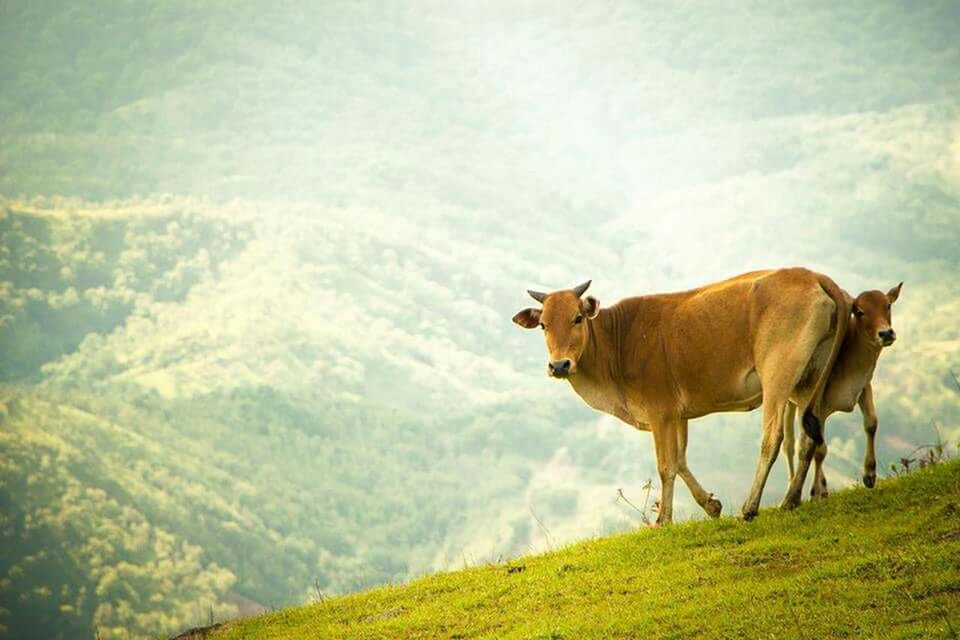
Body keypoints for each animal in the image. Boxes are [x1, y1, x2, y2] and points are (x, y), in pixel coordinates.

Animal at [512, 268, 844, 524]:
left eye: (578, 318)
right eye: (543, 325)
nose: (559, 365)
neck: (617, 342)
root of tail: (813, 275)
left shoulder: (660, 413)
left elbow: (666, 466)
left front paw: (663, 520)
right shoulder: (678, 415)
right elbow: (681, 460)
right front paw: (711, 504)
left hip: (777, 376)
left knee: (772, 439)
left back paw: (750, 508)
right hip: (808, 379)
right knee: (809, 437)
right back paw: (790, 500)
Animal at [784, 282, 904, 498]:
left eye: (888, 305)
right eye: (860, 311)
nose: (886, 333)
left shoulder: (864, 387)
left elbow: (871, 423)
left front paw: (869, 475)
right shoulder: (819, 407)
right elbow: (820, 449)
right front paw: (818, 491)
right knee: (789, 444)